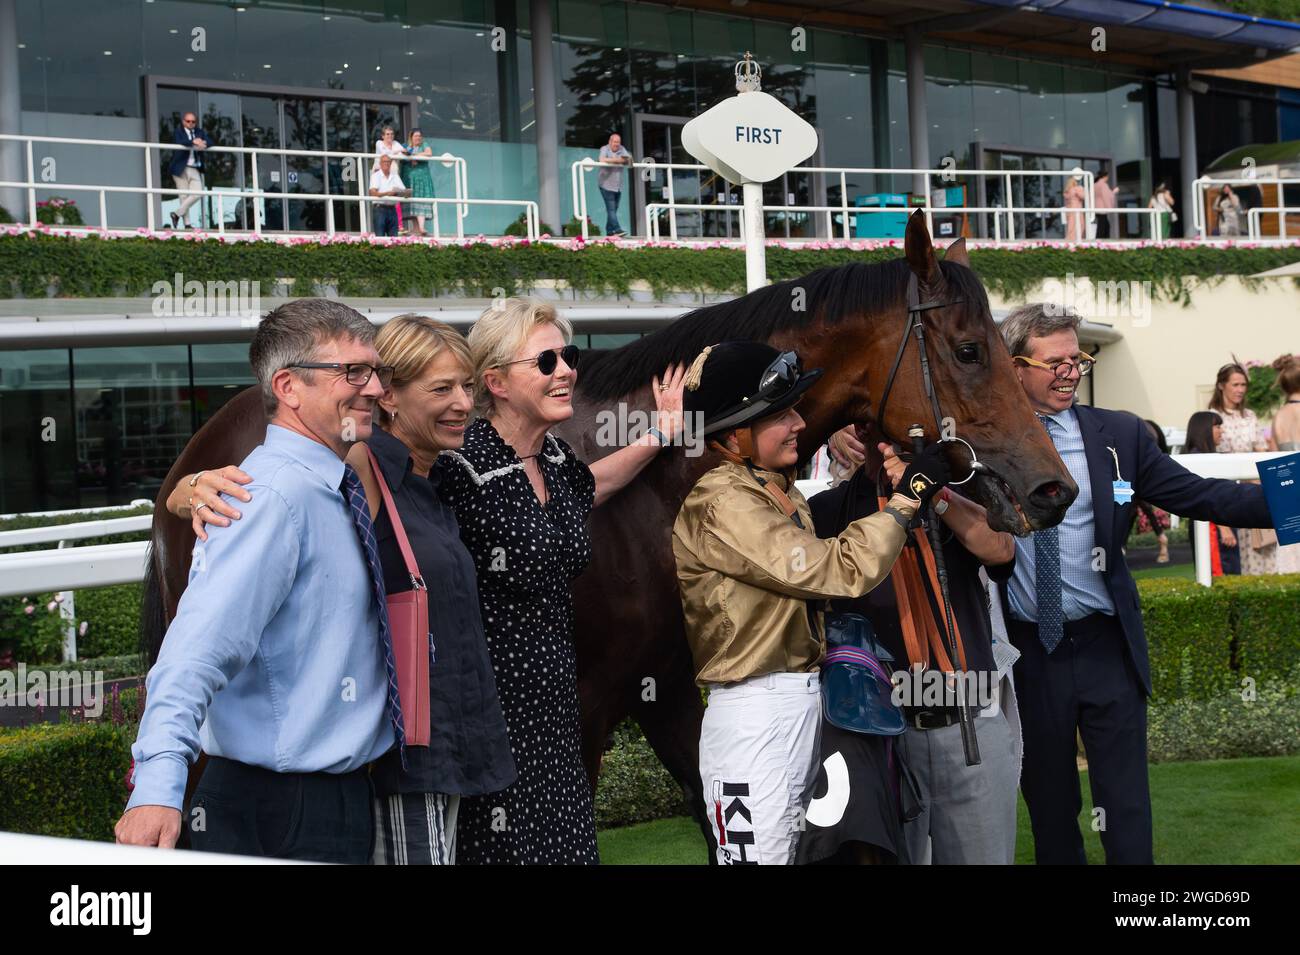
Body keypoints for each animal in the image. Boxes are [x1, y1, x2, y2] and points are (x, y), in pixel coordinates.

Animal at [139, 214, 1076, 857]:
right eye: (967, 348)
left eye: (1004, 348)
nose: (1052, 488)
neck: (654, 490)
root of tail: (198, 449)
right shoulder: (581, 710)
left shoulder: (676, 690)